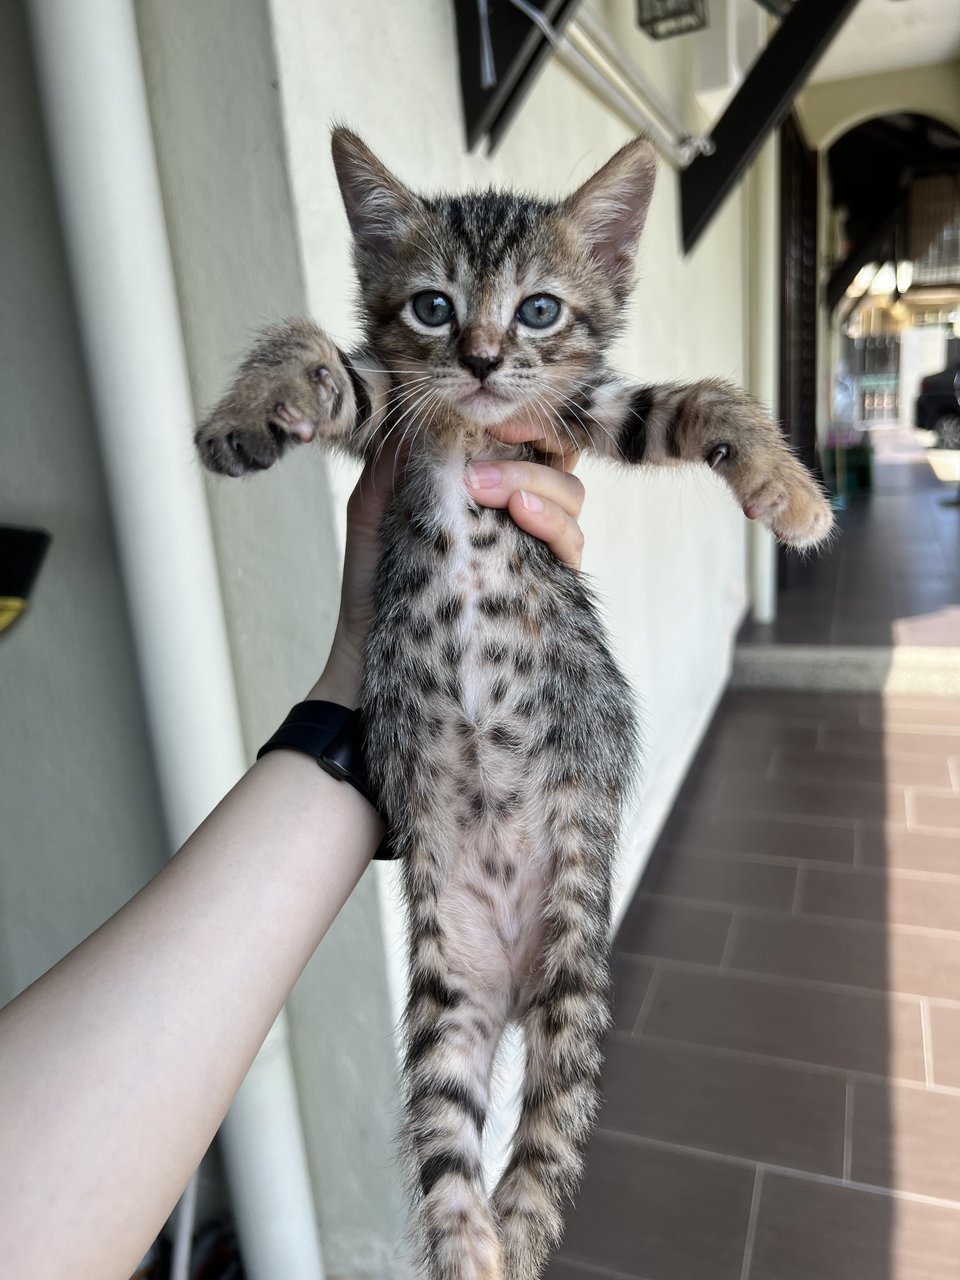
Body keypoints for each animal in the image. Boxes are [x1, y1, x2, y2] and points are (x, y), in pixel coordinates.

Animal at [197, 132, 834, 1280]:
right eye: (434, 306)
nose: (488, 359)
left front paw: (791, 493)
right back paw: (474, 1244)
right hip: (443, 1007)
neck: (470, 429)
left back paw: (509, 1226)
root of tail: (511, 976)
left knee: (544, 1146)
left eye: (539, 309)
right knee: (458, 1153)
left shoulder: (572, 416)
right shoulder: (394, 414)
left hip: (578, 968)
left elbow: (697, 399)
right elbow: (314, 349)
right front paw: (245, 415)